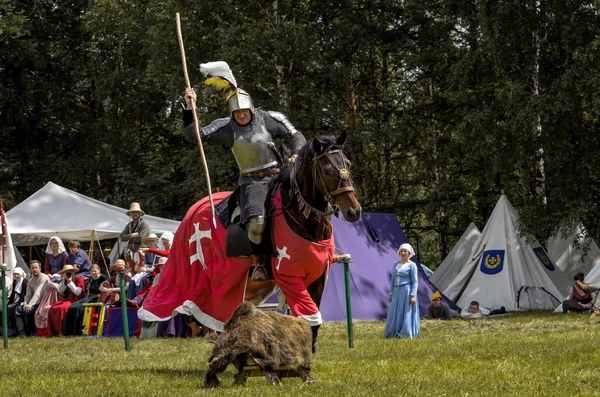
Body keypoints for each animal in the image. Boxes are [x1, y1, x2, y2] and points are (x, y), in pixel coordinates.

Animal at [137, 131, 360, 348]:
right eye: (327, 171)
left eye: (348, 164)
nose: (353, 211)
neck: (302, 217)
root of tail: (197, 206)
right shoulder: (289, 276)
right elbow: (309, 319)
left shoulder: (318, 277)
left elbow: (313, 326)